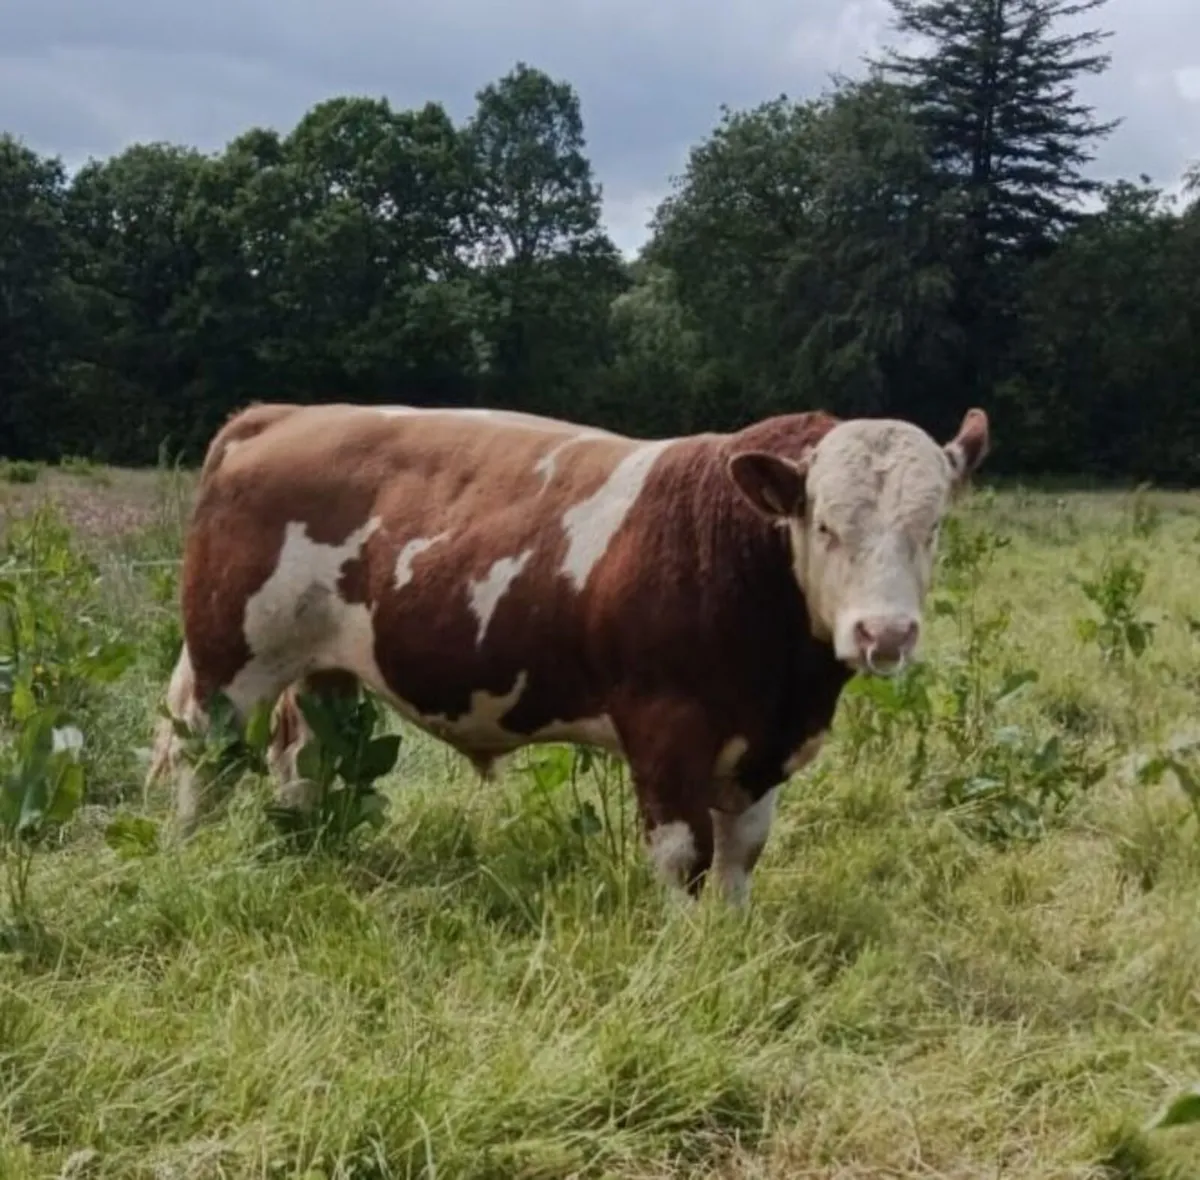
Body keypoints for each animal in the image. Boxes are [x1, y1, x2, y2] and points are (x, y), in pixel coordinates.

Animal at [146, 401, 989, 904]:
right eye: (825, 526)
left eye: (932, 528)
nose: (884, 634)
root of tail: (282, 414)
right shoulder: (668, 734)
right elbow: (683, 857)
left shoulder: (762, 750)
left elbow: (740, 855)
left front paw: (732, 946)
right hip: (227, 667)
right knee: (203, 769)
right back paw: (188, 860)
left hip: (324, 674)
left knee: (305, 766)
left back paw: (311, 859)